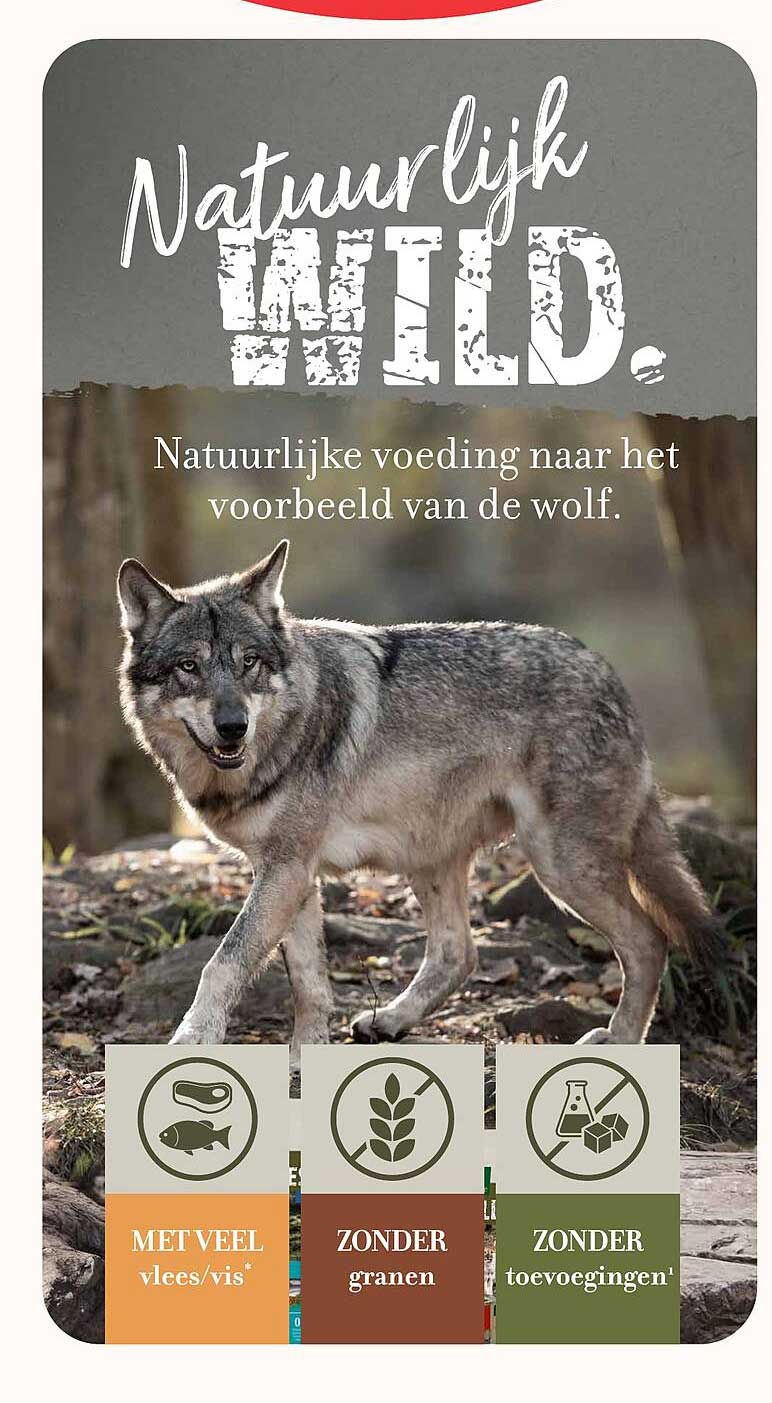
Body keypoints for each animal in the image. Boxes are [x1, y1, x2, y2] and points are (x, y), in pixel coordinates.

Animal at [117, 540, 716, 1063]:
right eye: (189, 667)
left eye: (248, 663)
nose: (232, 727)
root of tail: (609, 674)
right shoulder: (289, 872)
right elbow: (309, 985)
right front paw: (305, 1059)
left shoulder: (286, 871)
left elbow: (223, 963)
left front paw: (191, 1042)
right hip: (432, 857)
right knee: (459, 953)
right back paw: (391, 1020)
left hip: (557, 863)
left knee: (649, 941)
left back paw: (620, 1042)